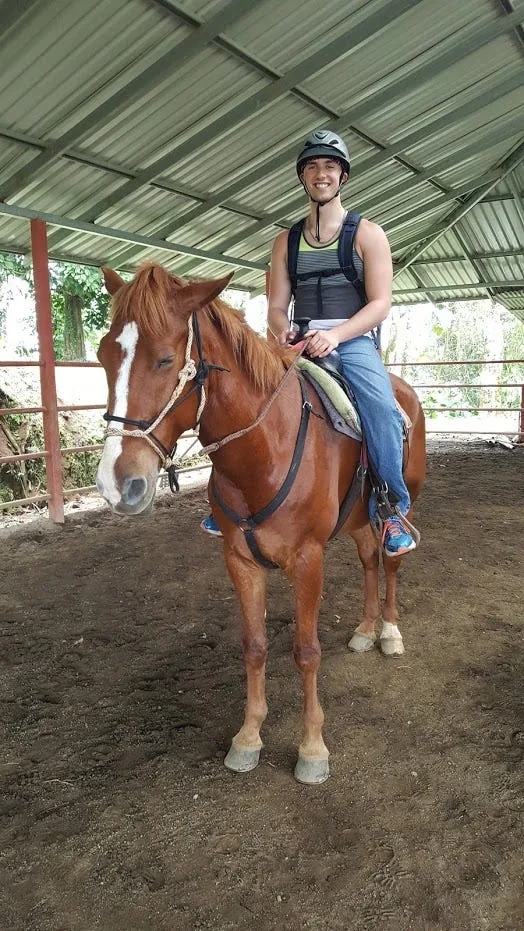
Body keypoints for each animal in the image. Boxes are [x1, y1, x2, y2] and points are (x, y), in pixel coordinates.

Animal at [96, 263, 426, 784]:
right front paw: (248, 737)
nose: (116, 483)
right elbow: (253, 645)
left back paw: (389, 632)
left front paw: (312, 749)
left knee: (390, 561)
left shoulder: (307, 560)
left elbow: (306, 650)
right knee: (369, 560)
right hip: (357, 516)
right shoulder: (239, 559)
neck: (264, 448)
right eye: (103, 356)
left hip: (399, 504)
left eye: (166, 359)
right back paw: (365, 629)